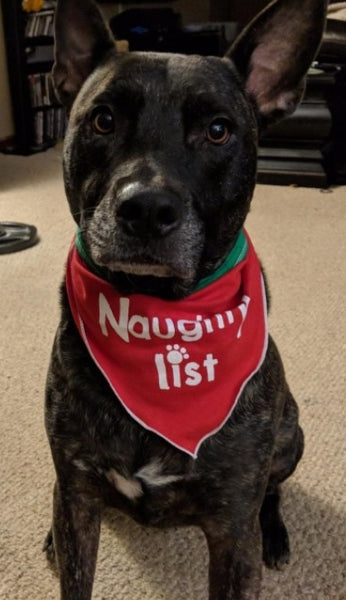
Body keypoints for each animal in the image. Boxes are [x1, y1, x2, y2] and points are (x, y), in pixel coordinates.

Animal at [44, 2, 328, 596]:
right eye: (103, 120)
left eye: (218, 130)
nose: (147, 209)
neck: (158, 315)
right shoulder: (77, 493)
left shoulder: (231, 531)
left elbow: (246, 517)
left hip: (291, 436)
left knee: (271, 493)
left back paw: (276, 534)